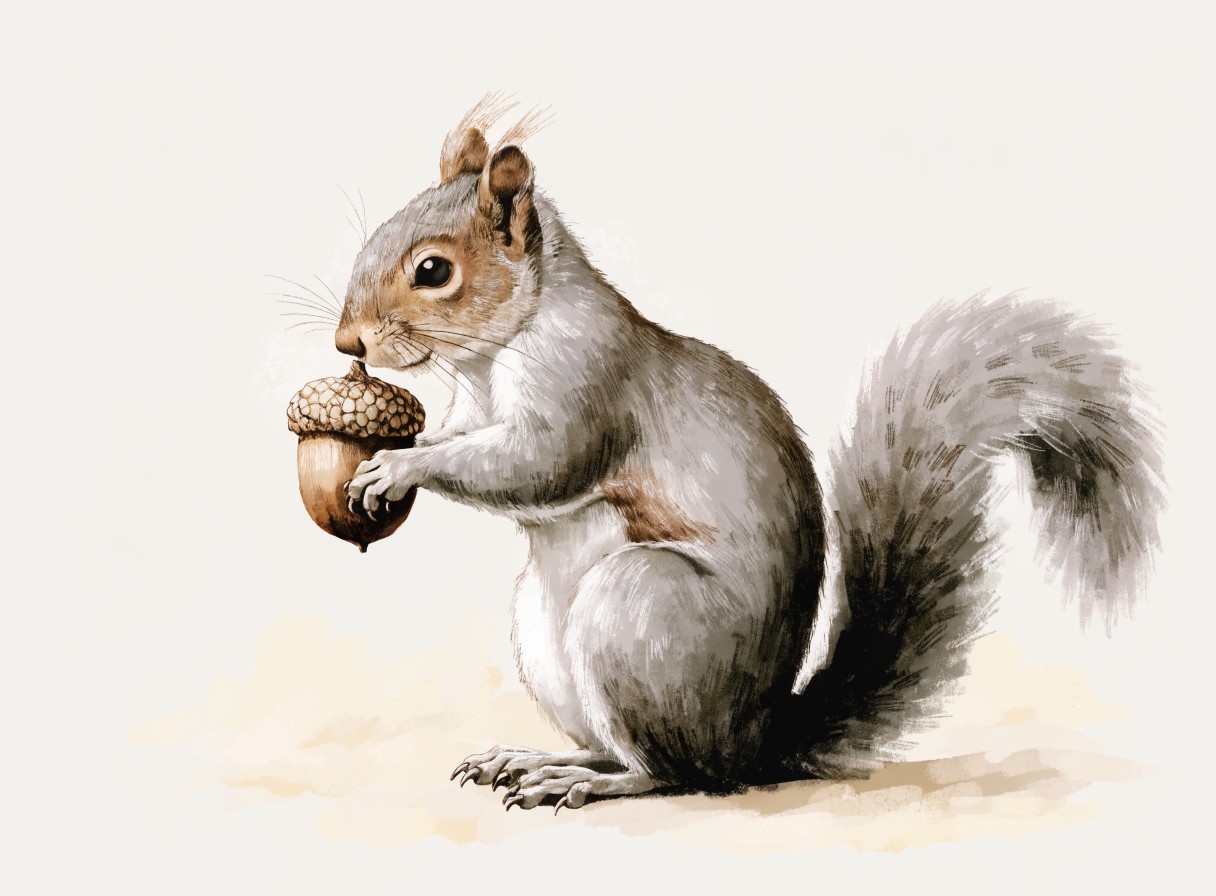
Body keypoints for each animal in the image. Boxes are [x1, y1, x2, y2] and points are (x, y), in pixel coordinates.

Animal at [337, 97, 1165, 812]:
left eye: (434, 270)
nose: (349, 343)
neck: (500, 347)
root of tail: (755, 739)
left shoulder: (588, 383)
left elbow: (538, 464)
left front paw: (399, 467)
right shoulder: (471, 409)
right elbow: (465, 442)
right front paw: (392, 448)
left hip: (641, 608)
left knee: (675, 772)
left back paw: (590, 781)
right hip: (547, 639)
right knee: (619, 745)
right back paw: (540, 758)